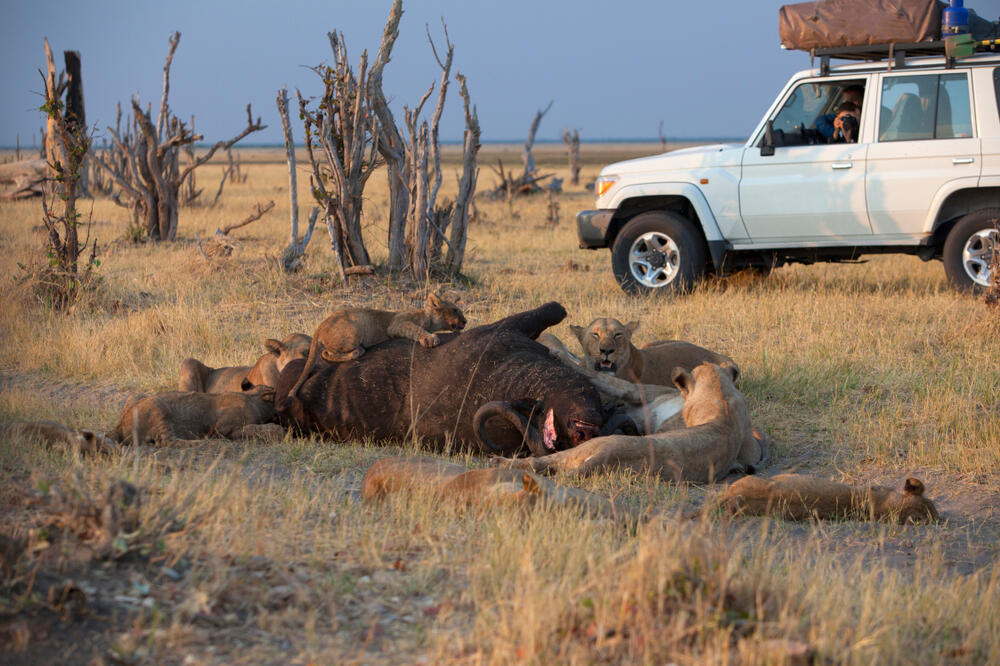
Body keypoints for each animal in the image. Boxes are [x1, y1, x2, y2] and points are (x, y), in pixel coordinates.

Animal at [109, 385, 283, 445]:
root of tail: (119, 426)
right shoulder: (224, 428)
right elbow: (256, 429)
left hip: (136, 396)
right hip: (158, 407)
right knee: (167, 441)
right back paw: (206, 442)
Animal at [286, 293, 467, 400]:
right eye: (455, 310)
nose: (465, 321)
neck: (428, 318)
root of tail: (320, 327)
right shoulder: (397, 323)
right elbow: (416, 329)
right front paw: (430, 338)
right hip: (354, 330)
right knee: (325, 353)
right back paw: (357, 352)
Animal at [493, 362, 769, 483]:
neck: (721, 394)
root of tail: (604, 458)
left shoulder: (636, 390)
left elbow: (602, 378)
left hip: (589, 448)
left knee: (539, 462)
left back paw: (502, 462)